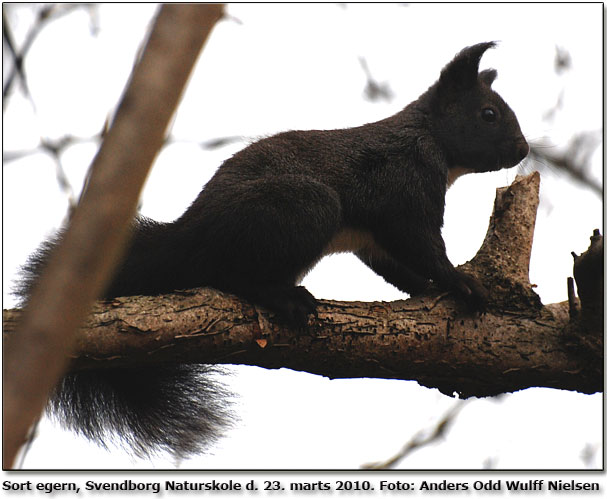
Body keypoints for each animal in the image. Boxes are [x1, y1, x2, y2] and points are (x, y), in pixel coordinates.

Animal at [16, 43, 528, 460]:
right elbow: (424, 247)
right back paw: (285, 297)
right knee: (230, 276)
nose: (523, 150)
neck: (433, 142)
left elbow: (397, 266)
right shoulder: (404, 187)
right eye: (488, 114)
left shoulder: (373, 238)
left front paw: (424, 289)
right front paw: (462, 283)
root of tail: (187, 236)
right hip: (302, 208)